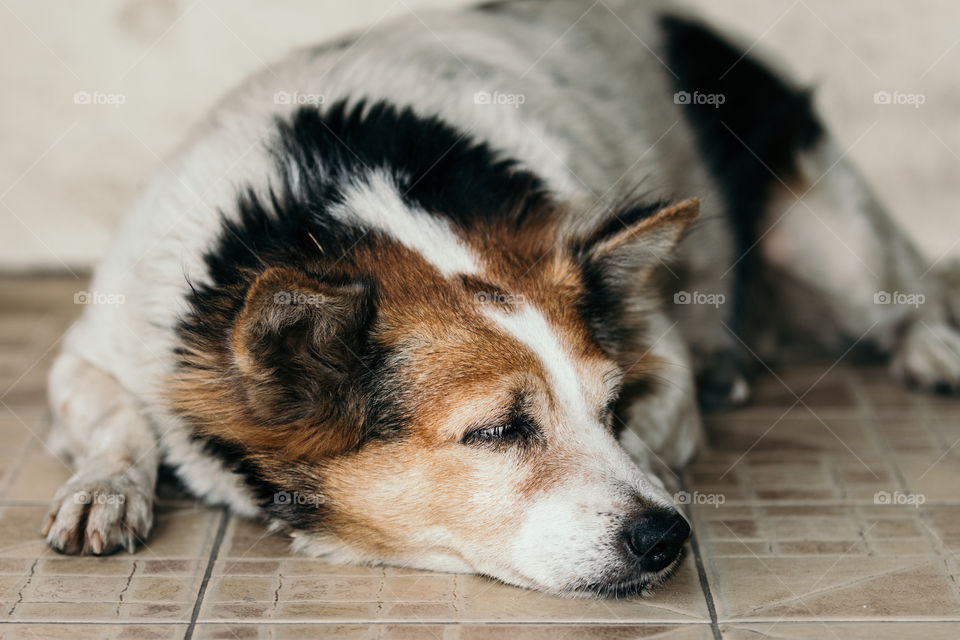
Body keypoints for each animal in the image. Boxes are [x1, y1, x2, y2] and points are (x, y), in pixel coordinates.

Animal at [41, 1, 960, 600]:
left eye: (613, 408)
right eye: (496, 432)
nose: (668, 537)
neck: (350, 204)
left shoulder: (657, 349)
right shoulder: (95, 347)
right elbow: (114, 416)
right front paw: (105, 487)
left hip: (836, 242)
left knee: (906, 292)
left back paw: (931, 350)